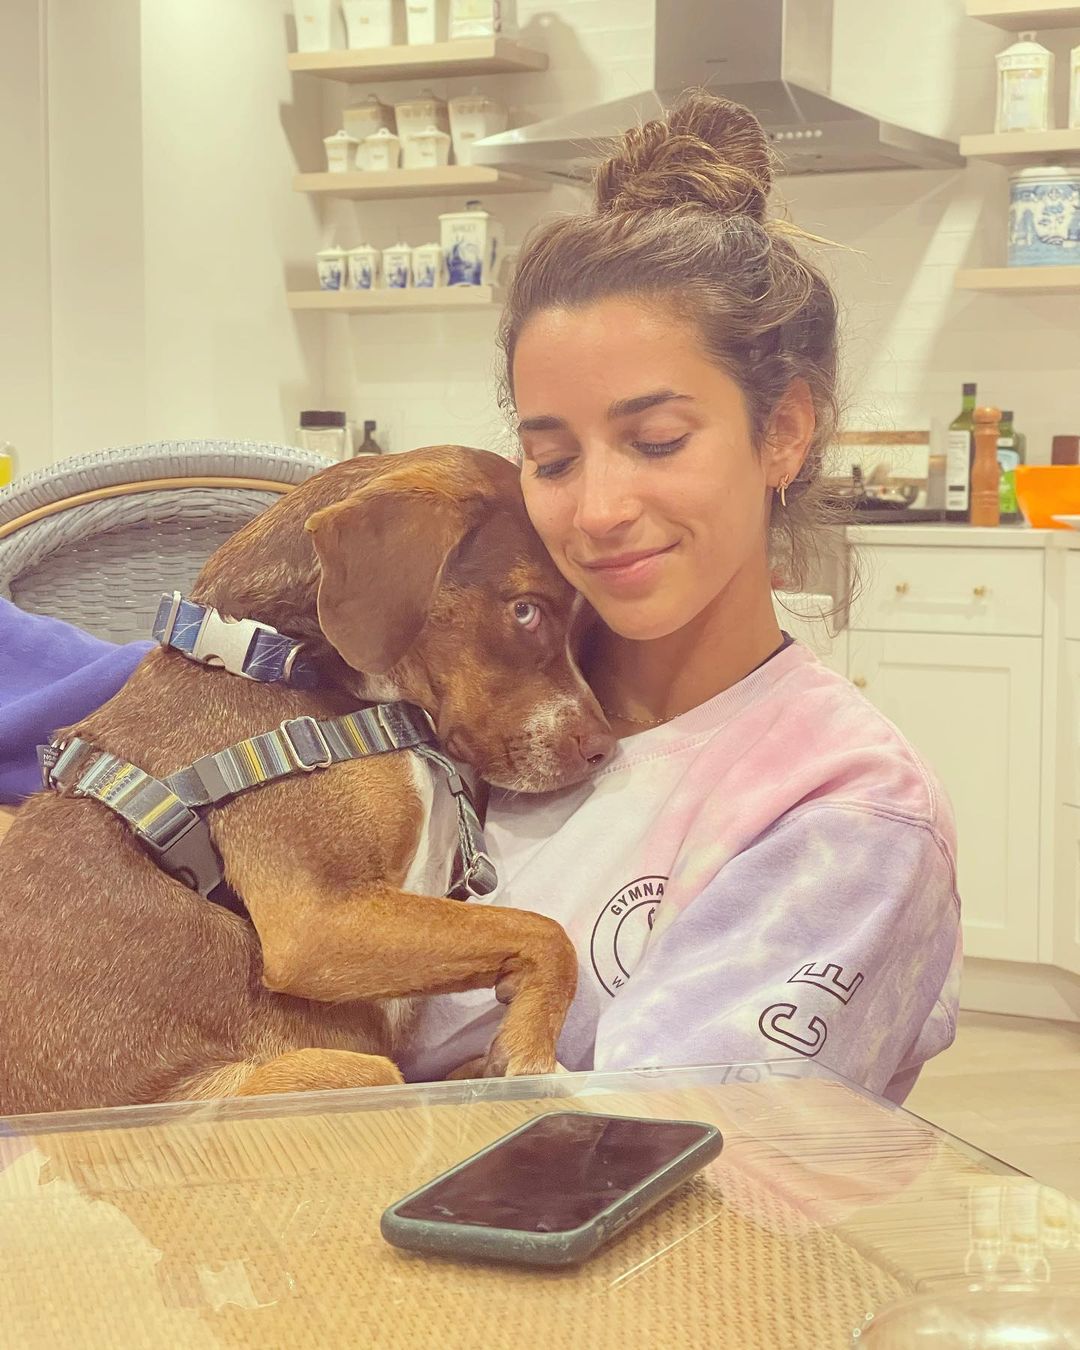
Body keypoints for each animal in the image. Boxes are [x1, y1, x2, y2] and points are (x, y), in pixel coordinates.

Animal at [0, 446, 614, 1116]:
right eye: (525, 610)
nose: (604, 749)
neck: (279, 659)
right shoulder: (318, 919)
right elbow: (547, 934)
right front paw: (531, 1056)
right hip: (325, 1077)